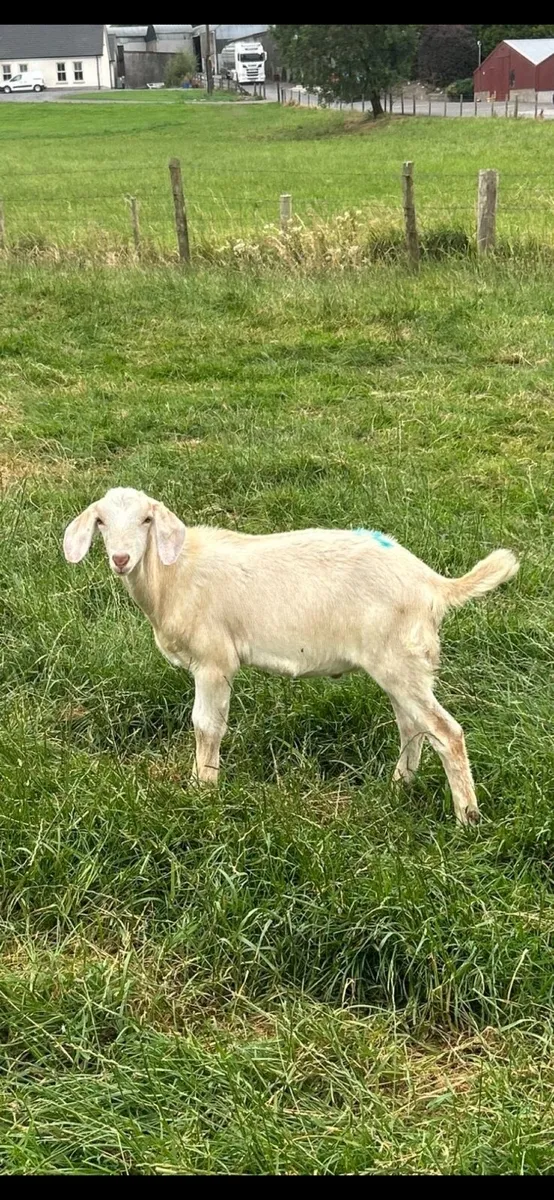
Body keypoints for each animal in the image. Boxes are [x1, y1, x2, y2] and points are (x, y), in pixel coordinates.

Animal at [63, 487, 519, 824]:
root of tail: (434, 584)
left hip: (401, 660)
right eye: (101, 521)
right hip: (399, 664)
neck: (173, 576)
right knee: (413, 726)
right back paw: (398, 786)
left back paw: (467, 818)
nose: (121, 559)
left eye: (146, 520)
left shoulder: (214, 661)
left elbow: (206, 726)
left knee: (446, 732)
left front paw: (202, 789)